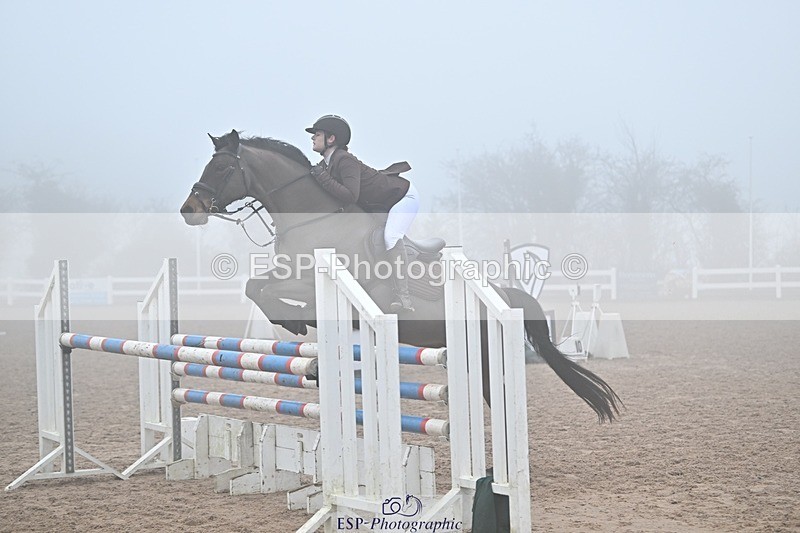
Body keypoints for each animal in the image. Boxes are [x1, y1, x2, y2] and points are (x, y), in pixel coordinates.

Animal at [180, 129, 622, 422]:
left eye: (222, 167)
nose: (190, 210)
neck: (312, 219)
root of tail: (506, 297)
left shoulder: (312, 282)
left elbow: (265, 290)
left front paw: (296, 321)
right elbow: (255, 286)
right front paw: (297, 325)